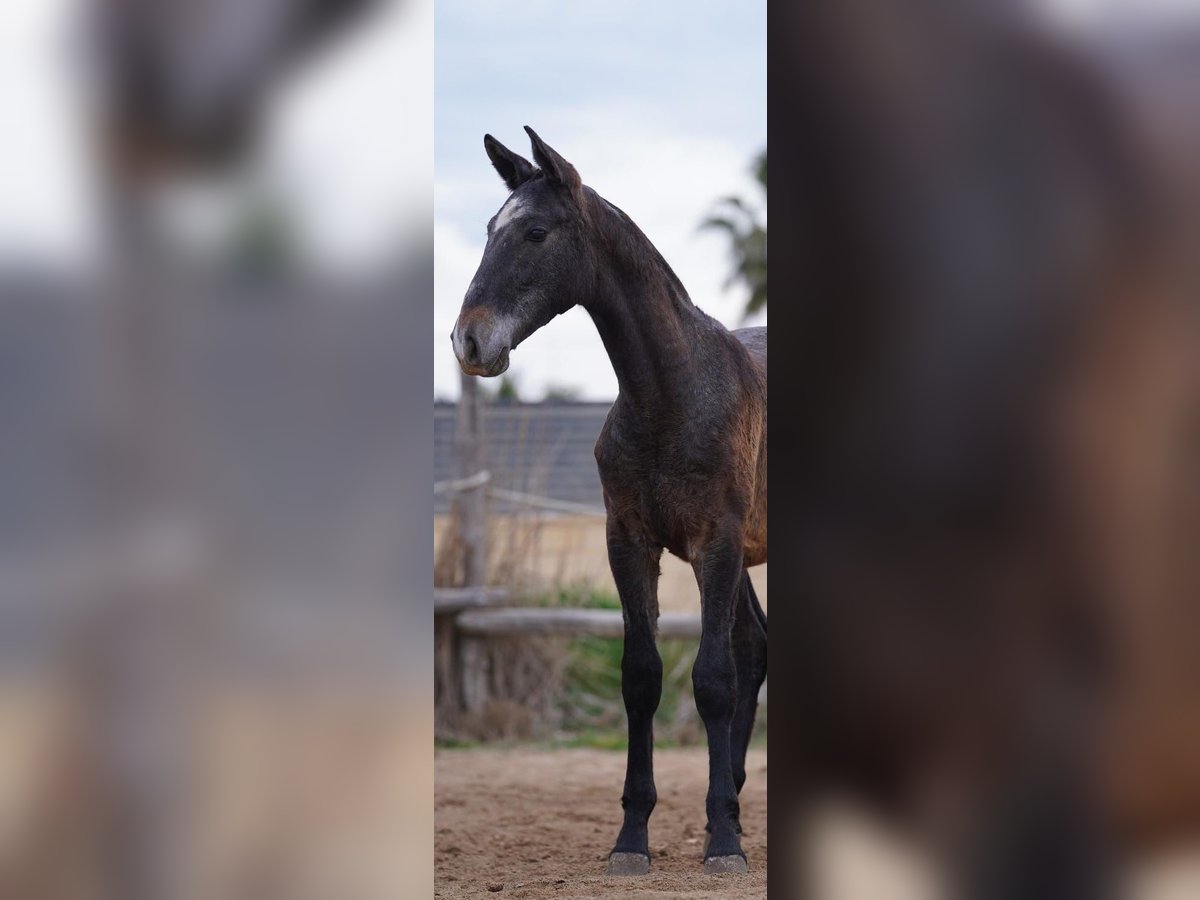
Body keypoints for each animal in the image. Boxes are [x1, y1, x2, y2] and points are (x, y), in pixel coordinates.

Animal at [451, 130, 768, 878]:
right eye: (489, 229)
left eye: (536, 232)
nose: (468, 341)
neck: (672, 398)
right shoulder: (628, 541)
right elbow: (642, 677)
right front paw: (634, 838)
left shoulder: (715, 543)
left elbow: (712, 678)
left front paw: (723, 844)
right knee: (755, 649)